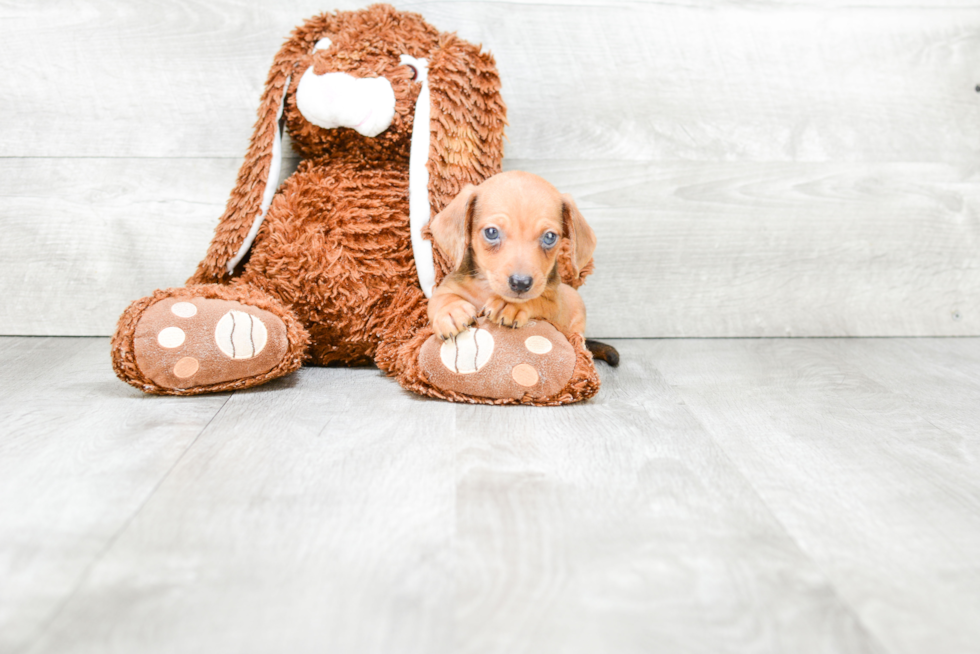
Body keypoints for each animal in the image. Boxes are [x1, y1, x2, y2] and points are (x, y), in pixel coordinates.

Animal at [428, 174, 596, 344]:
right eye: (491, 232)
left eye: (550, 237)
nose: (520, 284)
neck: (488, 288)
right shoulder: (444, 289)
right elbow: (442, 298)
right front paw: (450, 311)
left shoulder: (554, 307)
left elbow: (537, 300)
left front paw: (510, 304)